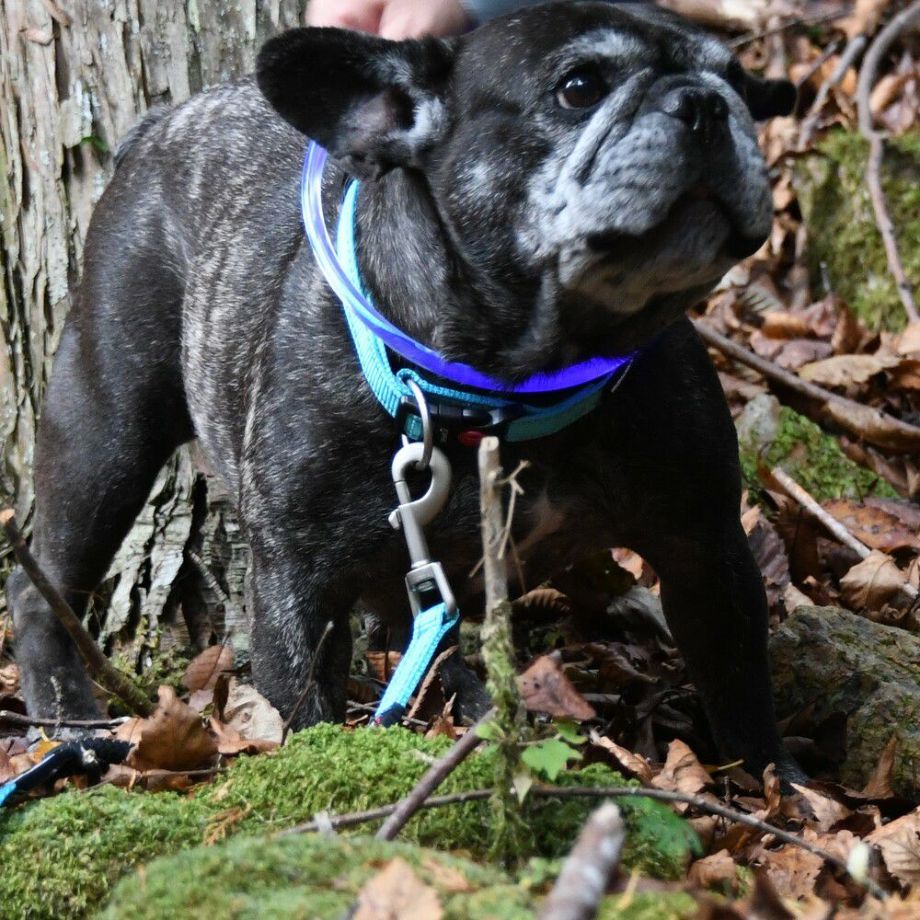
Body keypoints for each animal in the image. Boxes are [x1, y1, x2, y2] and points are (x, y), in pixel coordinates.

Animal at [7, 1, 802, 779]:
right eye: (578, 88)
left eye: (738, 81)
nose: (704, 103)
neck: (517, 384)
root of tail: (160, 124)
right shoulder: (298, 584)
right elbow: (302, 710)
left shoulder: (707, 549)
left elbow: (742, 693)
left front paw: (778, 788)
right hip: (107, 428)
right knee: (42, 583)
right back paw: (68, 723)